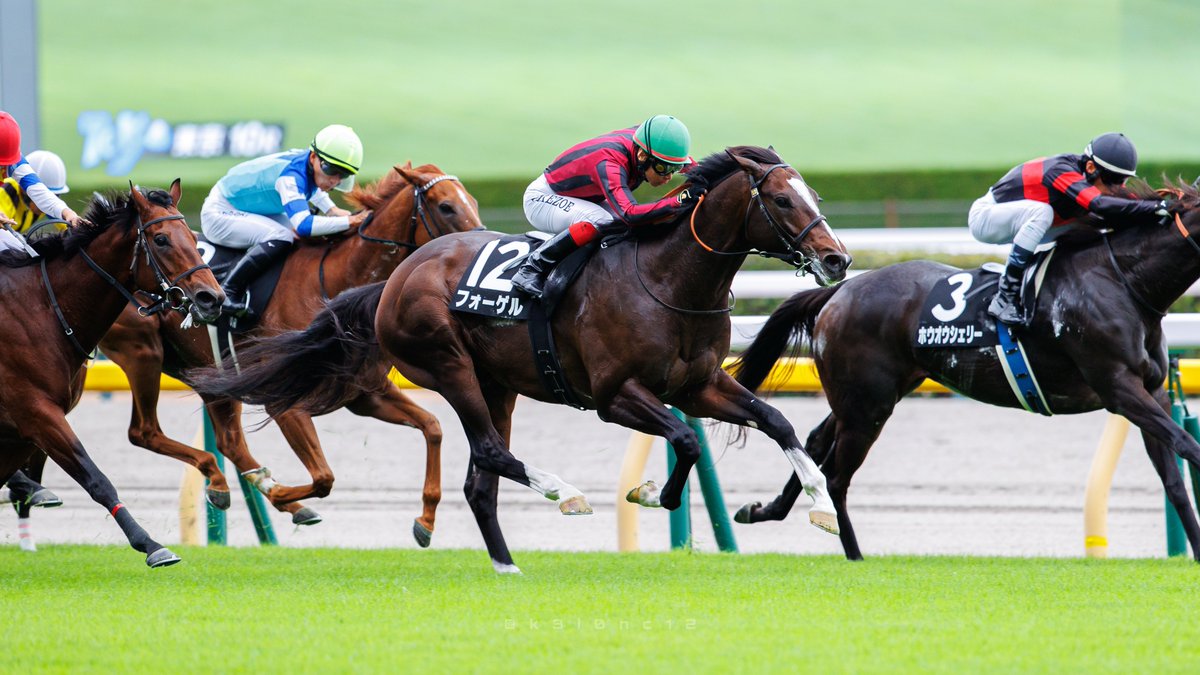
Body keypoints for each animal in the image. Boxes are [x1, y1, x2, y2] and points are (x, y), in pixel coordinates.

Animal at [0, 181, 222, 567]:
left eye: (194, 238)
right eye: (161, 239)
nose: (212, 297)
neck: (41, 308)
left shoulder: (23, 427)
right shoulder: (35, 412)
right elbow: (96, 478)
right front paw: (151, 544)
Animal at [96, 163, 483, 544]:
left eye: (473, 202)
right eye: (446, 206)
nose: (479, 245)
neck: (335, 284)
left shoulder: (366, 393)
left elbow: (433, 427)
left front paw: (426, 520)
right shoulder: (285, 403)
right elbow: (324, 477)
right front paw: (279, 492)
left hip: (210, 375)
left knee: (229, 441)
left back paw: (247, 490)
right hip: (143, 353)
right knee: (144, 431)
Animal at [191, 145, 853, 572]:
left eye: (813, 194)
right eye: (781, 200)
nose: (838, 259)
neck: (669, 277)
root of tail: (397, 278)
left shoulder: (699, 384)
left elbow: (776, 421)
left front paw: (818, 505)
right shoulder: (615, 396)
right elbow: (686, 441)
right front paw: (650, 495)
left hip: (498, 382)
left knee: (481, 478)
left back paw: (507, 565)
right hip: (448, 364)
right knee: (488, 451)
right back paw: (565, 493)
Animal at [729, 180, 1200, 562]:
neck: (1124, 282)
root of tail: (842, 289)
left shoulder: (1153, 392)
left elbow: (1175, 480)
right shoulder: (1118, 388)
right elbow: (1186, 443)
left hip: (871, 394)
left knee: (815, 441)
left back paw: (764, 510)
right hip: (867, 406)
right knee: (838, 477)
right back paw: (855, 557)